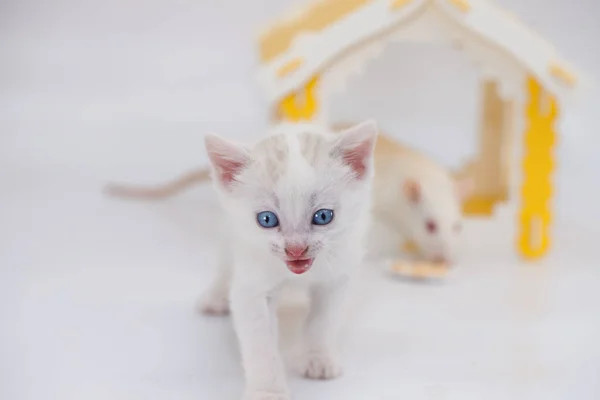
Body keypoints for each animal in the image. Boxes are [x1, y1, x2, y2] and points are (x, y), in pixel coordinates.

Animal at [202, 121, 380, 400]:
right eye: (266, 219)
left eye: (323, 216)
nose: (296, 249)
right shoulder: (251, 285)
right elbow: (260, 339)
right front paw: (267, 390)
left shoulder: (335, 278)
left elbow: (323, 321)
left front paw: (319, 359)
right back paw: (215, 296)